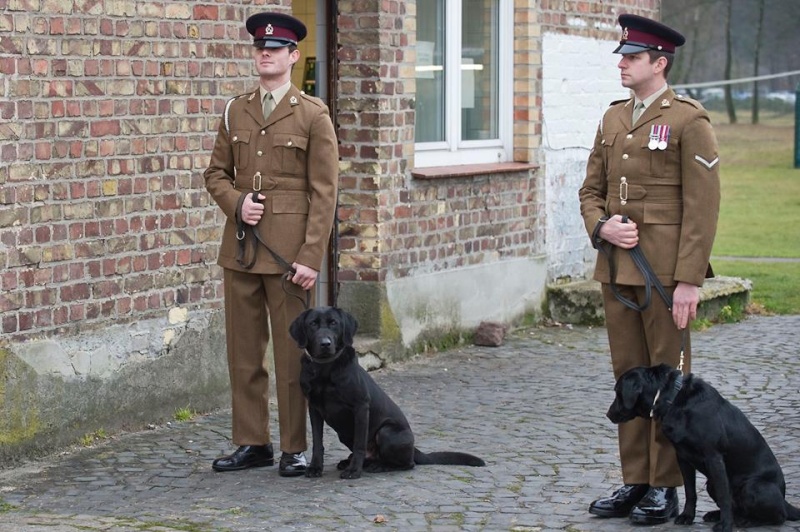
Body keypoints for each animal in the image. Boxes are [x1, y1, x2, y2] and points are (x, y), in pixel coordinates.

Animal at [290, 306, 484, 480]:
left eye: (334, 323)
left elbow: (359, 444)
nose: (325, 344)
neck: (325, 369)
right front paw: (315, 468)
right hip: (344, 434)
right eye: (313, 324)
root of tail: (414, 449)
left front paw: (354, 471)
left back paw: (378, 466)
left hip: (387, 432)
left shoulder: (361, 407)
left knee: (407, 464)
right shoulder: (314, 408)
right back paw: (355, 462)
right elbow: (317, 442)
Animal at [608, 366, 796, 532]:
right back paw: (716, 515)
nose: (608, 414)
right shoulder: (682, 457)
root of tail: (785, 501)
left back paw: (747, 521)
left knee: (780, 516)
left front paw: (725, 526)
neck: (674, 400)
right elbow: (690, 491)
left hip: (754, 487)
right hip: (710, 484)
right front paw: (687, 516)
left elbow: (724, 496)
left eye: (618, 392)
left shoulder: (714, 458)